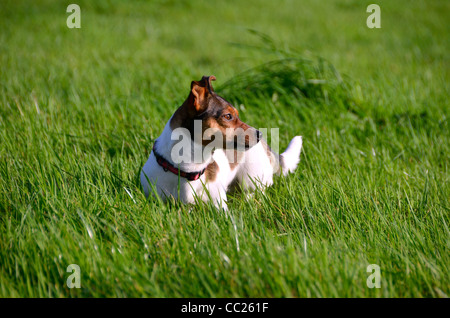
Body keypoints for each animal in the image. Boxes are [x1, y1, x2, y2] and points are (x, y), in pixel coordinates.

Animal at [141, 74, 302, 209]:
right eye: (228, 116)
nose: (260, 134)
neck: (189, 171)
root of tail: (266, 146)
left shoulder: (218, 205)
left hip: (253, 179)